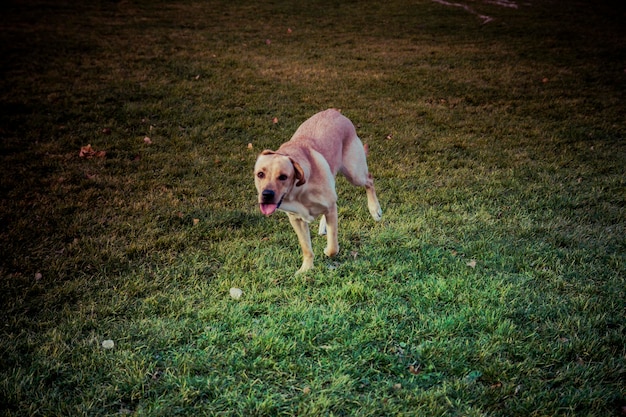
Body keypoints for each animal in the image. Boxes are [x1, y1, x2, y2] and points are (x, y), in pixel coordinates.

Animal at [252, 109, 380, 274]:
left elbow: (333, 247)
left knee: (369, 181)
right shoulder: (296, 219)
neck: (297, 192)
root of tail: (334, 111)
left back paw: (375, 210)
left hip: (354, 173)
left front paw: (327, 251)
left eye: (283, 177)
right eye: (260, 174)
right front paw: (306, 268)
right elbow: (306, 247)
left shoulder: (331, 208)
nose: (267, 195)